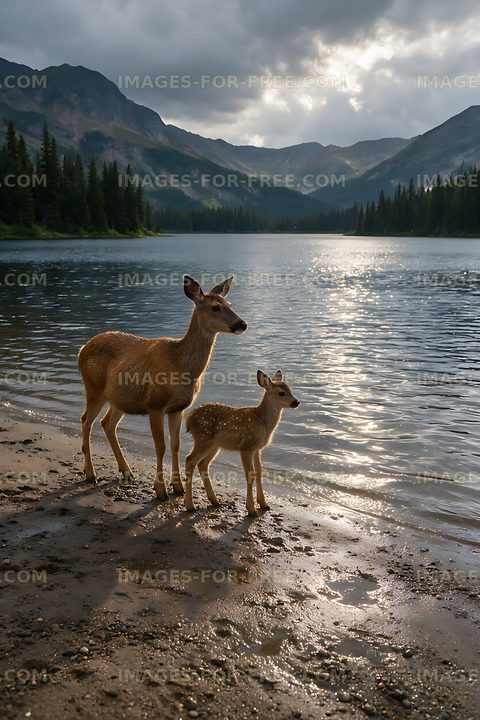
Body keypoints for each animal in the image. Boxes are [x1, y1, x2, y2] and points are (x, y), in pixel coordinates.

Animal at [77, 275, 247, 499]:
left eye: (230, 304)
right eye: (215, 307)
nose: (242, 324)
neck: (180, 366)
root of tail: (81, 349)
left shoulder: (178, 408)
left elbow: (175, 445)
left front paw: (178, 487)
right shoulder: (155, 405)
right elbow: (160, 446)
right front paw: (160, 490)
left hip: (120, 399)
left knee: (107, 423)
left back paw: (126, 471)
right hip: (94, 389)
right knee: (86, 421)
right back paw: (90, 473)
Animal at [184, 370, 300, 517]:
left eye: (290, 389)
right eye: (281, 393)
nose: (296, 402)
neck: (262, 420)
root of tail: (189, 419)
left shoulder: (257, 449)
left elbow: (259, 472)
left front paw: (264, 504)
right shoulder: (246, 447)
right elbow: (250, 474)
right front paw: (251, 509)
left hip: (214, 445)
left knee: (202, 464)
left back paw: (214, 501)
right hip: (203, 439)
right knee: (190, 461)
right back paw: (190, 506)